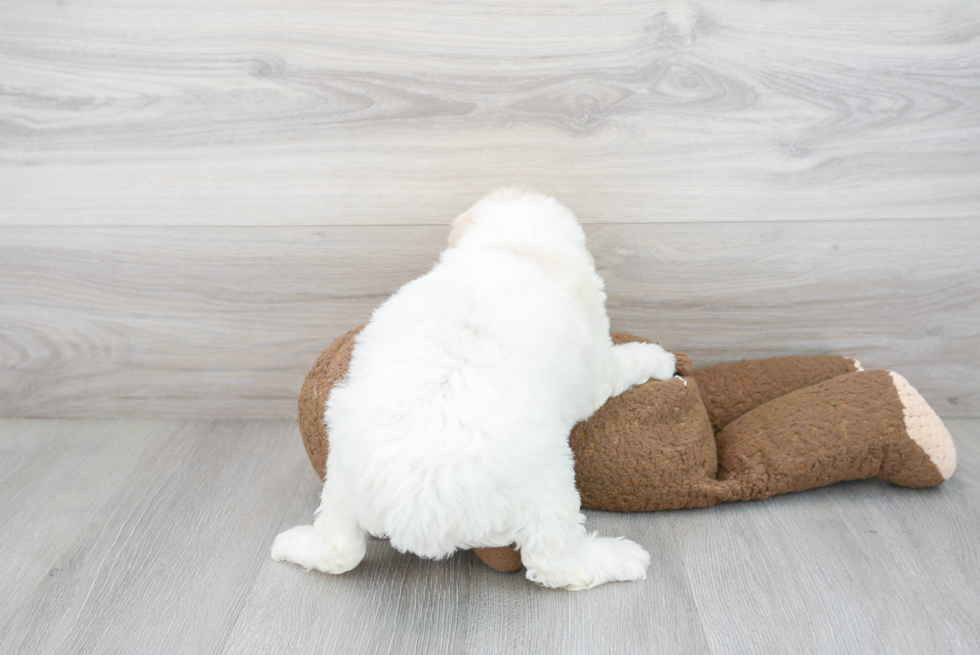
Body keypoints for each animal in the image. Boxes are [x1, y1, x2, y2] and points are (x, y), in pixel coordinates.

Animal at [272, 188, 676, 588]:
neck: (512, 246)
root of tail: (421, 514)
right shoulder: (597, 367)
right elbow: (623, 363)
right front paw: (658, 359)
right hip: (550, 479)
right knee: (553, 562)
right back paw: (620, 559)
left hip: (340, 474)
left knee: (339, 548)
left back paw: (292, 545)